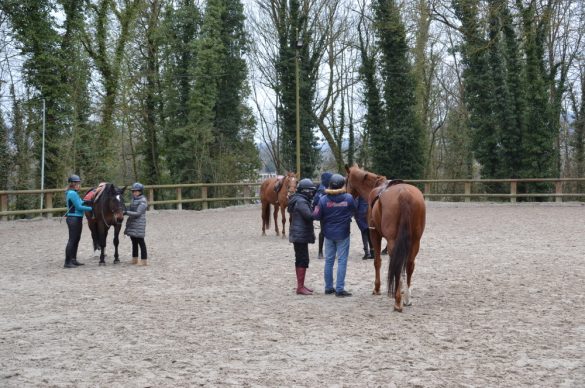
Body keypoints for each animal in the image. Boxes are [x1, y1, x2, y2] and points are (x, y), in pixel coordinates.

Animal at [342, 164, 424, 312]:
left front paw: (377, 288)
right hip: (415, 241)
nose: (346, 194)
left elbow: (377, 261)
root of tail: (404, 193)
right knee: (409, 265)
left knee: (397, 264)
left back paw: (397, 301)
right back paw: (407, 299)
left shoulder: (375, 234)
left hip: (392, 240)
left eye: (346, 181)